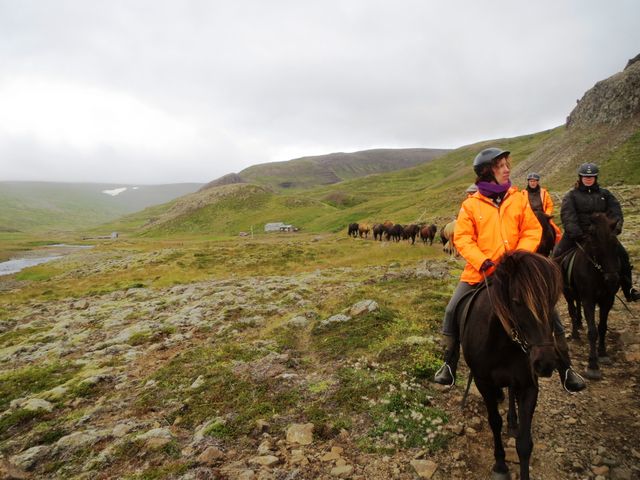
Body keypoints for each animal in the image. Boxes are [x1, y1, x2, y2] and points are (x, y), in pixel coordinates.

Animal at [459, 250, 562, 480]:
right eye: (517, 301)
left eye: (553, 301)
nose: (545, 363)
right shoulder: (483, 382)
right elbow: (494, 422)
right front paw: (500, 464)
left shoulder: (530, 385)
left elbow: (524, 443)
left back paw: (513, 421)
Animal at [556, 213, 620, 379]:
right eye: (596, 245)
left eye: (615, 245)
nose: (612, 279)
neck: (597, 272)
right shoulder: (589, 300)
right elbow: (592, 331)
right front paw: (592, 365)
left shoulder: (607, 300)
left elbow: (602, 327)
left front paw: (603, 353)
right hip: (567, 293)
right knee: (572, 311)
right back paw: (575, 333)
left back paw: (579, 324)